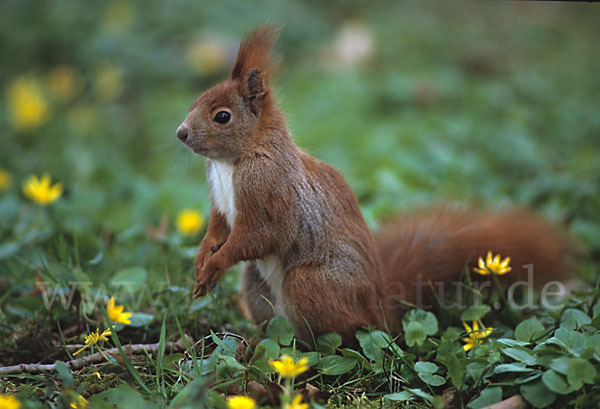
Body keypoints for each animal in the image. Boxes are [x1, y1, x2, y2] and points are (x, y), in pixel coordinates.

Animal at [178, 26, 572, 344]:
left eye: (222, 116)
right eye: (197, 99)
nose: (180, 133)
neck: (232, 161)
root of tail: (381, 311)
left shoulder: (270, 190)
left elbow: (261, 235)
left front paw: (214, 265)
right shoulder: (220, 203)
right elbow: (218, 229)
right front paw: (201, 261)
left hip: (310, 284)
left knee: (344, 337)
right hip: (255, 284)